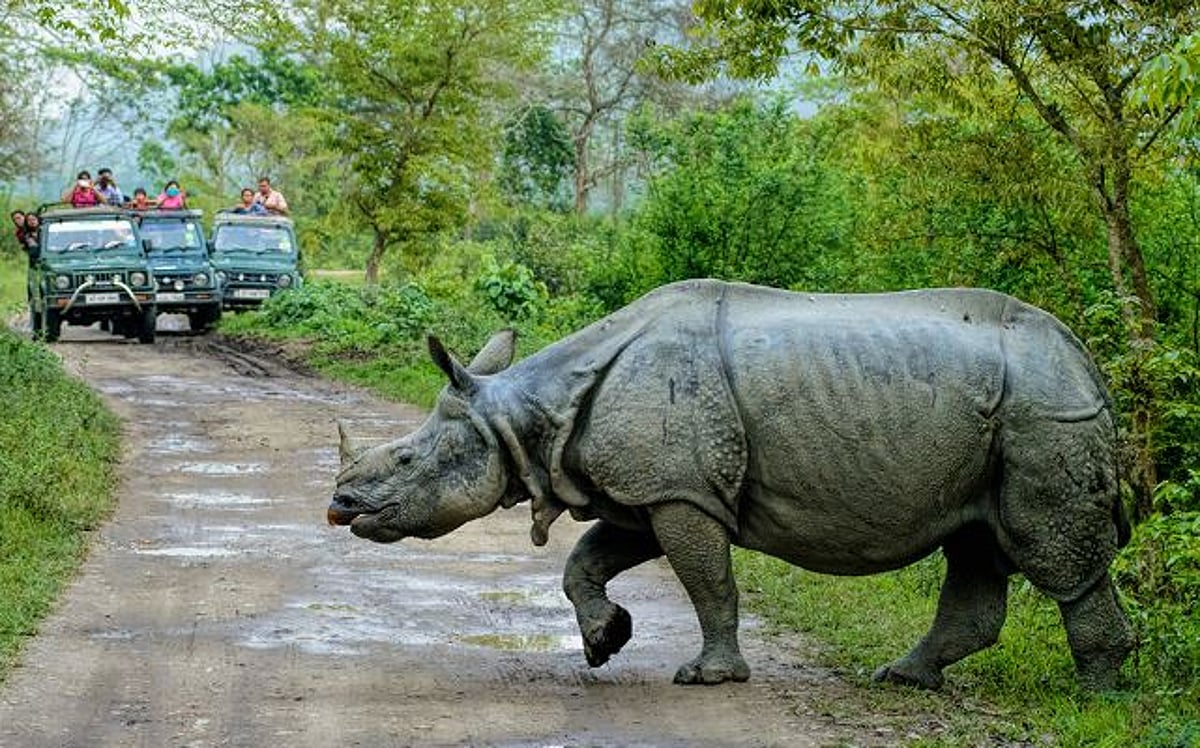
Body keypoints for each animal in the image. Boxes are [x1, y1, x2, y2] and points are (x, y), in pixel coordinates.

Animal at [328, 279, 1133, 690]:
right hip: (996, 420)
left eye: (406, 463)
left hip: (1043, 409)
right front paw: (604, 644)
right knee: (974, 541)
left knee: (1055, 554)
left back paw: (1096, 696)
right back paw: (902, 679)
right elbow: (584, 561)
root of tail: (1087, 359)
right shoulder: (654, 487)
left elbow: (709, 583)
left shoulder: (680, 490)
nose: (339, 506)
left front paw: (708, 676)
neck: (526, 416)